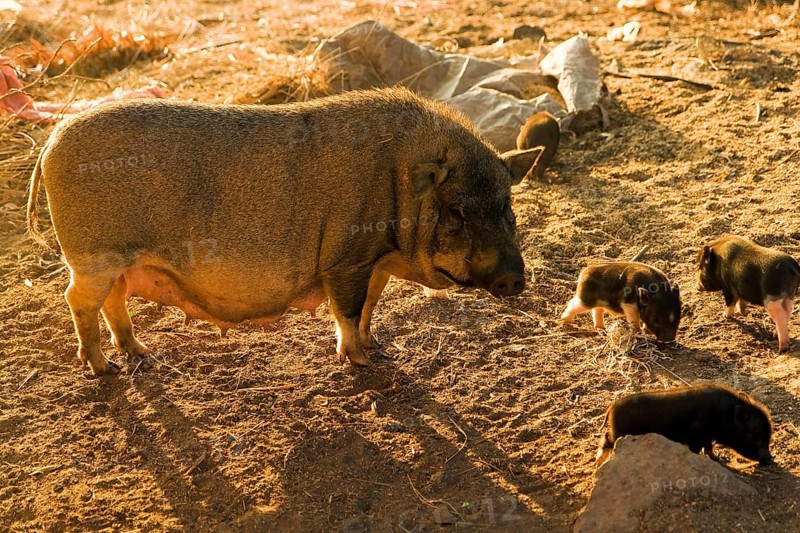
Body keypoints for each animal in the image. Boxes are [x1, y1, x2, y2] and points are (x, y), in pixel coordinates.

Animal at [27, 87, 545, 375]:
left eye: (508, 207)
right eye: (457, 211)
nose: (514, 278)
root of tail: (49, 144)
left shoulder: (372, 262)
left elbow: (370, 305)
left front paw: (379, 348)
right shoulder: (346, 258)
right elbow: (348, 311)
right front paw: (362, 362)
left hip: (116, 261)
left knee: (113, 299)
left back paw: (140, 354)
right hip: (93, 256)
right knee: (77, 299)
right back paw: (104, 369)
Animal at [595, 384, 773, 467]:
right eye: (755, 437)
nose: (770, 459)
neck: (723, 415)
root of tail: (611, 407)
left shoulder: (707, 437)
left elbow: (709, 448)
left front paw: (720, 459)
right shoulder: (697, 436)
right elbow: (697, 450)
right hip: (620, 433)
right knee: (606, 439)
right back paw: (598, 462)